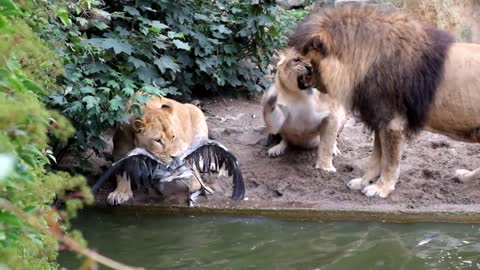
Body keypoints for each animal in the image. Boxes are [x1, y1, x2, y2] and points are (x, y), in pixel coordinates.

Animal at [288, 4, 480, 198]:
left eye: (300, 55)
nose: (287, 63)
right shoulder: (380, 120)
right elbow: (376, 159)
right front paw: (363, 182)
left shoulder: (392, 124)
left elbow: (389, 162)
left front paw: (381, 188)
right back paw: (465, 177)